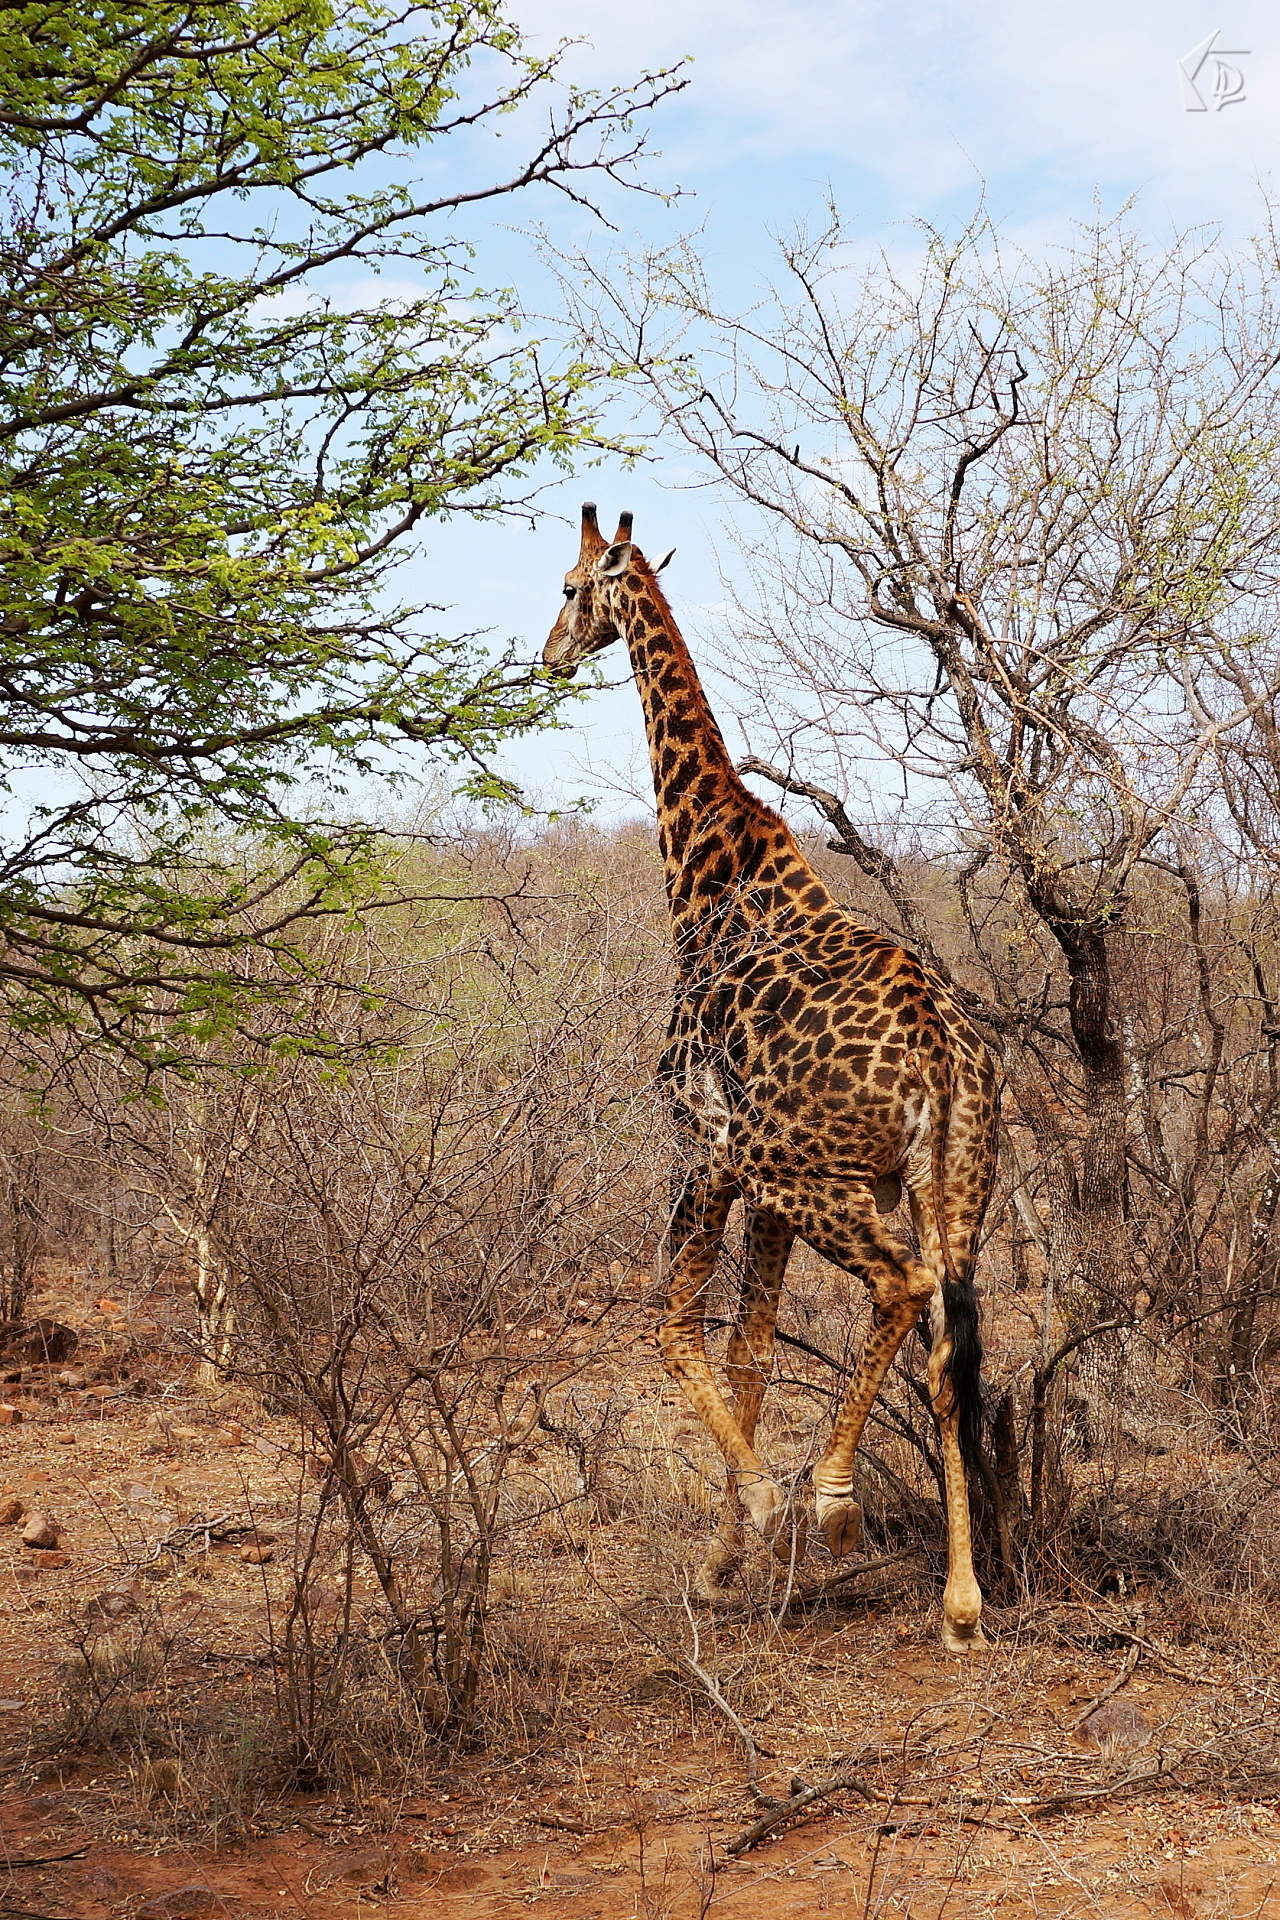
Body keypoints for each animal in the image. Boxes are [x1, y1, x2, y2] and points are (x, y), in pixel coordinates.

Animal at [543, 505, 1000, 1653]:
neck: (703, 875)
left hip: (804, 1170)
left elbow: (674, 1327)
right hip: (952, 1185)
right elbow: (748, 1348)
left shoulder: (702, 1145)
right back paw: (961, 1605)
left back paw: (835, 1505)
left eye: (569, 586)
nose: (549, 653)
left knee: (900, 1288)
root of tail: (941, 1051)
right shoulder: (758, 1192)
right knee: (948, 1349)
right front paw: (725, 1564)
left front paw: (749, 1522)